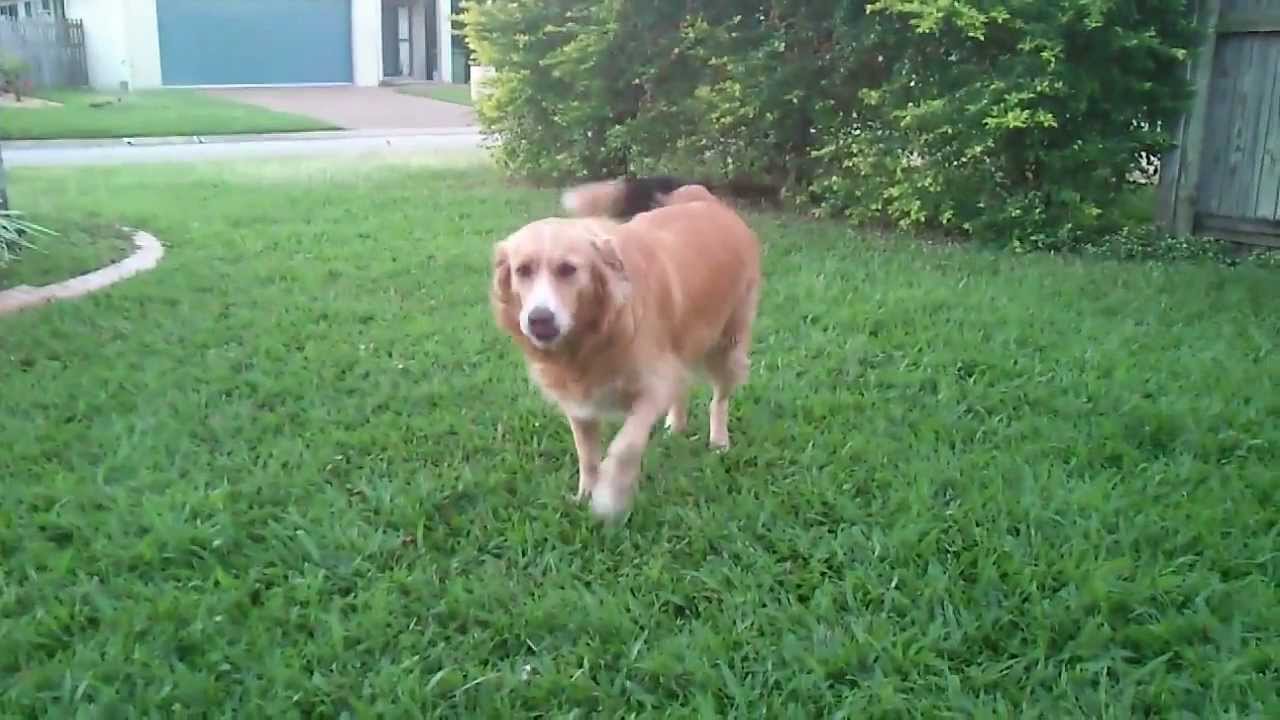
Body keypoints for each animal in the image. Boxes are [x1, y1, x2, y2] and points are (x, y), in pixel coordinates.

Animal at [488, 179, 757, 515]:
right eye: (522, 270)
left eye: (568, 269)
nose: (539, 319)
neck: (596, 332)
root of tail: (705, 199)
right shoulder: (580, 403)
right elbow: (587, 455)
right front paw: (585, 495)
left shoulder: (652, 386)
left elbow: (624, 445)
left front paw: (609, 495)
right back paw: (676, 425)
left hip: (728, 344)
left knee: (719, 398)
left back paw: (719, 440)